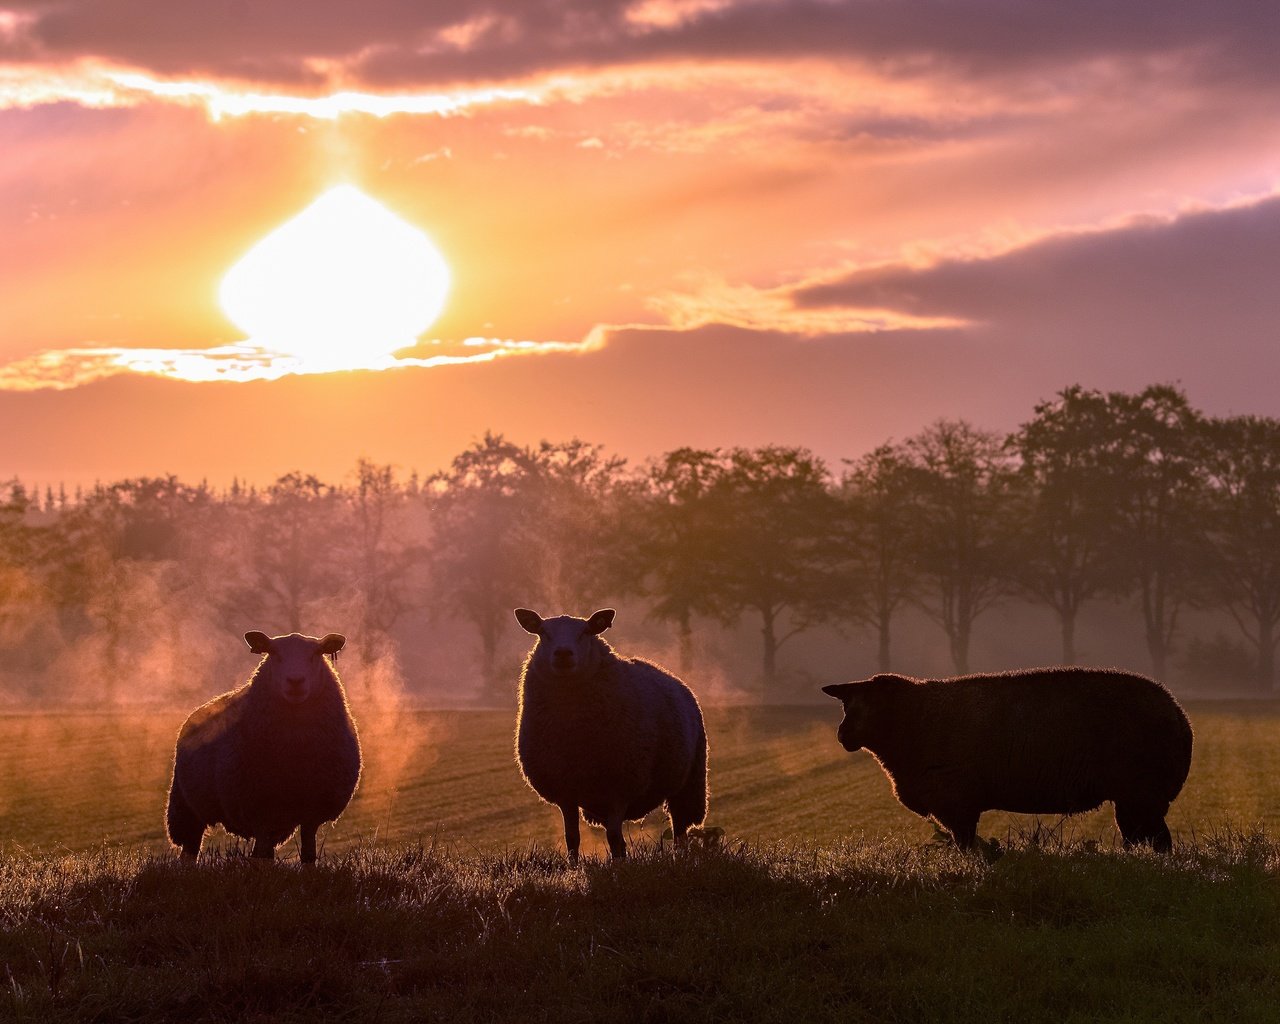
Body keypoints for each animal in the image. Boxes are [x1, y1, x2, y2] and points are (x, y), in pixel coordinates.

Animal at [166, 632, 360, 865]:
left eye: (316, 653)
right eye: (274, 653)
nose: (295, 682)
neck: (295, 753)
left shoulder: (312, 811)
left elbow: (308, 855)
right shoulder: (260, 809)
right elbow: (263, 858)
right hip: (186, 807)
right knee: (189, 849)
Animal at [512, 609, 711, 865]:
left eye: (585, 632)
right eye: (543, 633)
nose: (563, 653)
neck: (573, 736)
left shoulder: (619, 786)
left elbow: (614, 837)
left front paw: (618, 867)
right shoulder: (566, 789)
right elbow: (572, 837)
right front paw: (574, 867)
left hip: (690, 782)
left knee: (680, 828)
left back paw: (680, 857)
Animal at [824, 665, 1192, 849]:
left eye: (870, 705)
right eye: (846, 705)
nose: (842, 736)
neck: (912, 720)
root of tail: (1178, 714)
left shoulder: (956, 801)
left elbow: (966, 845)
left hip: (1142, 793)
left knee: (1159, 841)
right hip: (1134, 798)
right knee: (1140, 839)